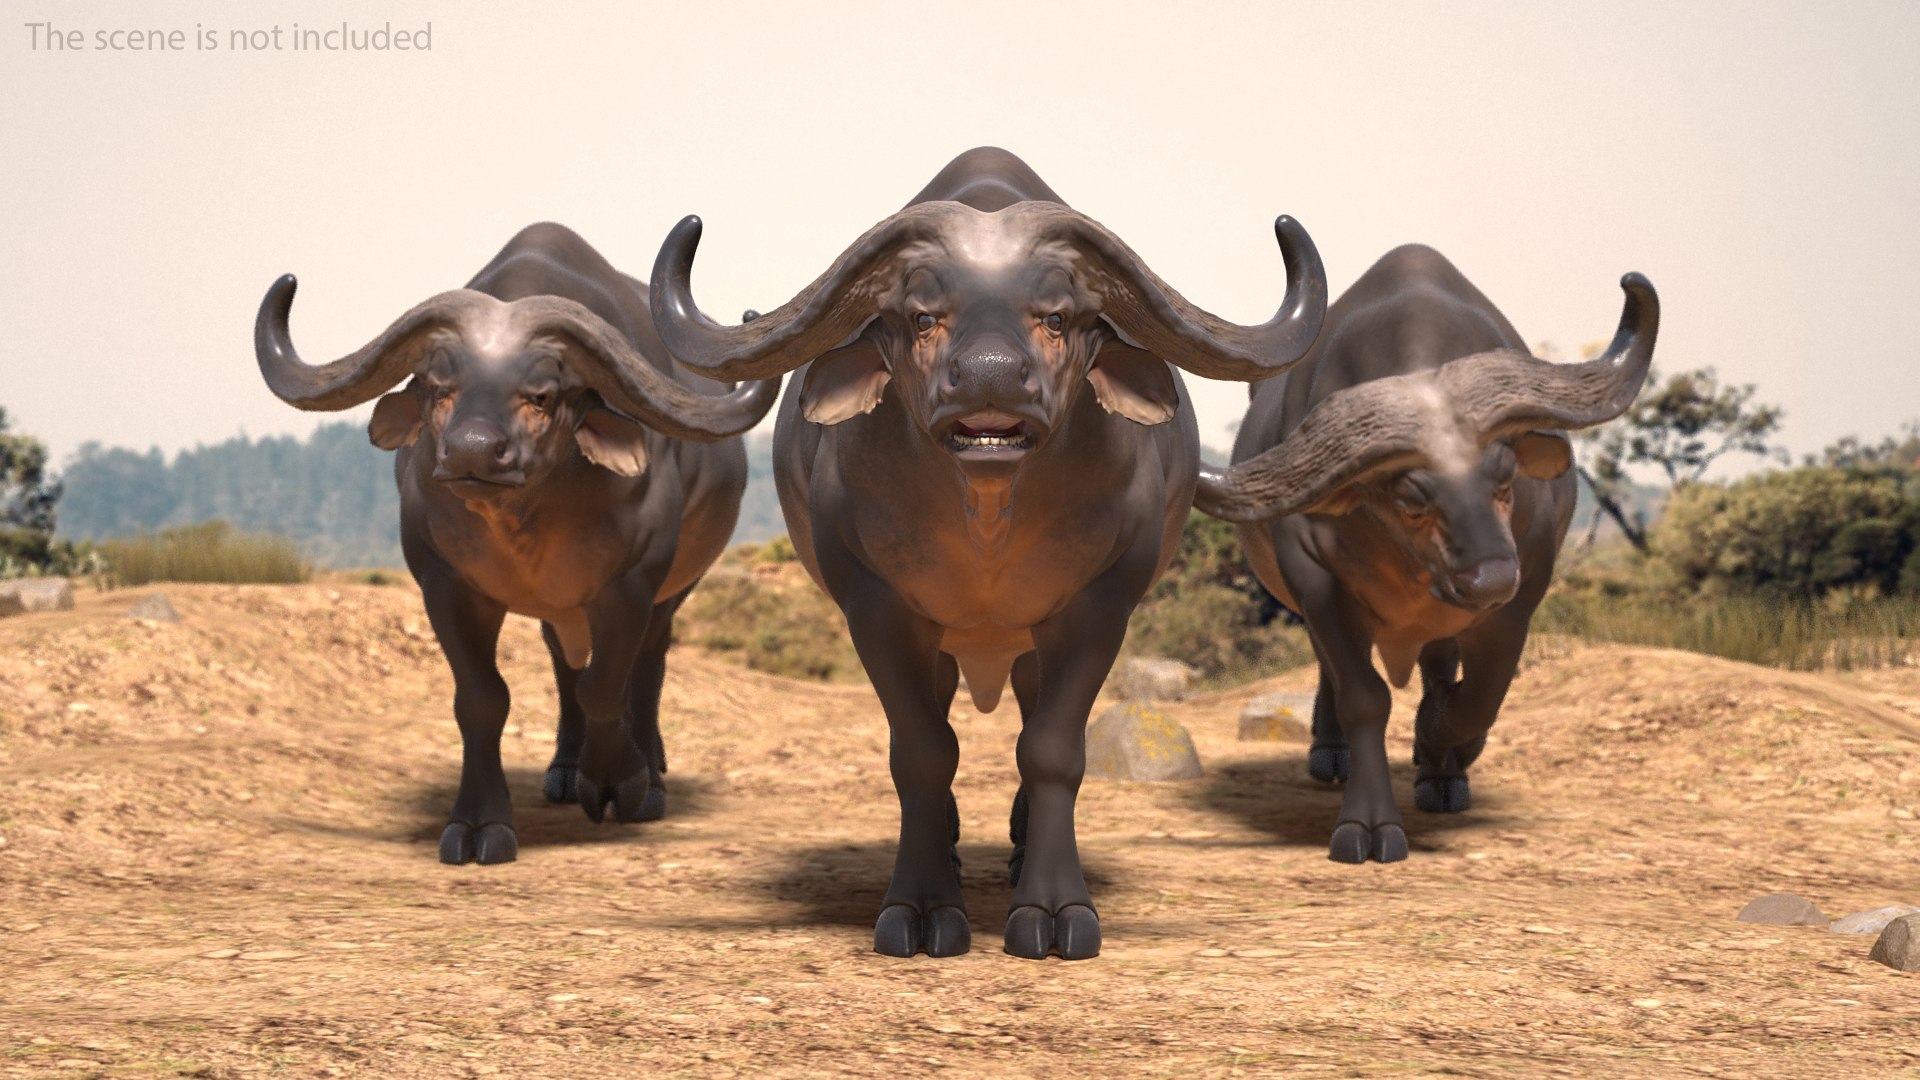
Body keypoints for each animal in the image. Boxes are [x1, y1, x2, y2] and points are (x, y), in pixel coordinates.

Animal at [254, 223, 777, 864]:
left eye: (542, 395)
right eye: (438, 387)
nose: (473, 450)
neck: (525, 522)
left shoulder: (629, 586)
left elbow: (607, 686)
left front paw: (619, 782)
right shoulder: (443, 584)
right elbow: (483, 699)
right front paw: (481, 822)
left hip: (675, 589)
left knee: (647, 665)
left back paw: (649, 775)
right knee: (562, 660)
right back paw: (565, 769)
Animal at [646, 147, 1326, 958]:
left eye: (1057, 316)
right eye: (921, 317)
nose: (992, 375)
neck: (988, 517)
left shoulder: (1099, 605)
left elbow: (1052, 750)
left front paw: (1054, 907)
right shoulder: (876, 606)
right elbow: (921, 752)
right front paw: (921, 905)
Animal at [1197, 245, 1658, 863]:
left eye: (1505, 478)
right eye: (1409, 498)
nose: (1490, 578)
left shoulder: (1521, 596)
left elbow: (1479, 699)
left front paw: (1437, 749)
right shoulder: (1315, 579)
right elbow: (1364, 696)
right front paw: (1368, 821)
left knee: (1441, 663)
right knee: (1332, 672)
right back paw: (1330, 752)